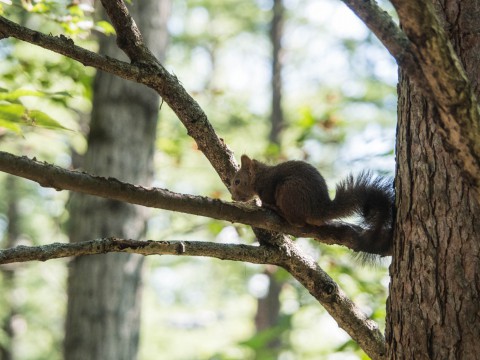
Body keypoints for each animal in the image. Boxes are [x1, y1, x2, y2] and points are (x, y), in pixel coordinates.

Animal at [232, 155, 394, 256]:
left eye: (237, 181)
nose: (233, 197)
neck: (260, 176)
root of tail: (319, 209)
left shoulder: (268, 188)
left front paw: (265, 204)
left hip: (289, 190)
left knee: (297, 222)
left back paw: (278, 210)